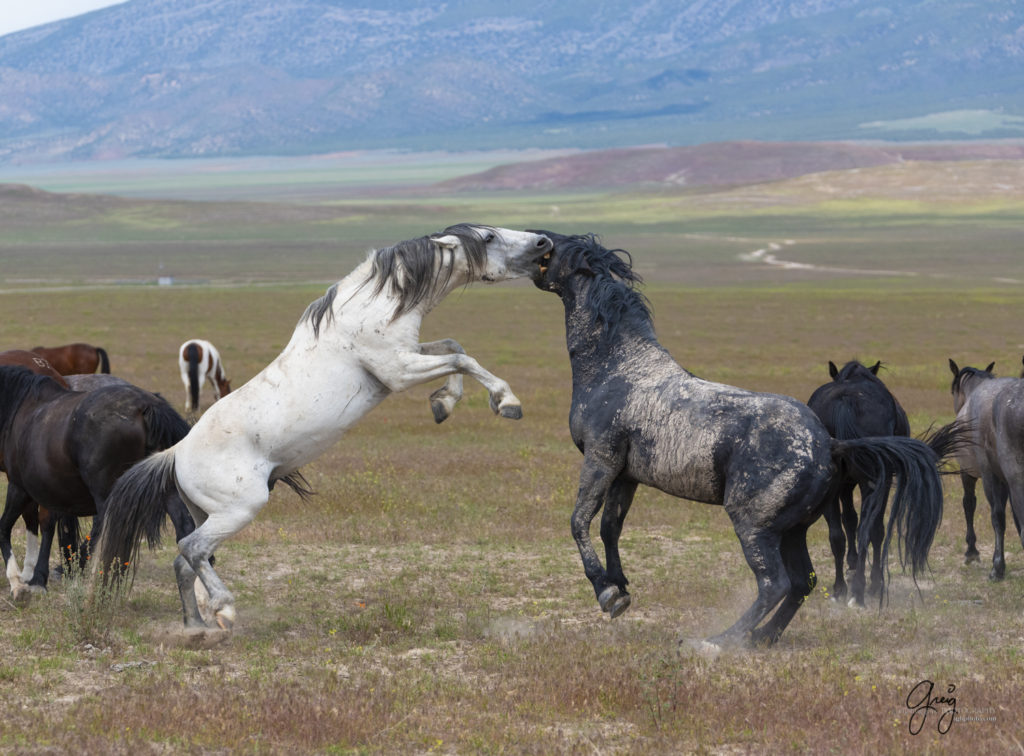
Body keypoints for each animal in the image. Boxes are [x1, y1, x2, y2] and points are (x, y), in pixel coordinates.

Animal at [0, 364, 192, 602]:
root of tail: (147, 406)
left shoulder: (19, 487)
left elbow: (5, 527)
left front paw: (18, 582)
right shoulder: (51, 491)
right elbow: (49, 527)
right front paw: (38, 578)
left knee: (107, 533)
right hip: (164, 490)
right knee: (185, 529)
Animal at [97, 223, 552, 631]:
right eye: (488, 237)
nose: (544, 243)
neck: (374, 305)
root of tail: (176, 453)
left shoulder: (410, 355)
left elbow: (454, 347)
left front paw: (443, 404)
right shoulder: (398, 371)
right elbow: (462, 358)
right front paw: (505, 402)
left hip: (206, 512)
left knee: (186, 562)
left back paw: (198, 625)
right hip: (238, 509)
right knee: (190, 550)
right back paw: (224, 609)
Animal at [806, 356, 913, 602]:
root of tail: (846, 400)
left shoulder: (845, 485)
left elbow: (849, 521)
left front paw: (852, 565)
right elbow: (871, 528)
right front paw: (871, 578)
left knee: (837, 535)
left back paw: (840, 588)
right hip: (872, 482)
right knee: (870, 530)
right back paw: (865, 586)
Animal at [946, 358, 1019, 577]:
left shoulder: (968, 473)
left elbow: (969, 504)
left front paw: (972, 552)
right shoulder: (1004, 481)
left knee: (997, 516)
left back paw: (997, 567)